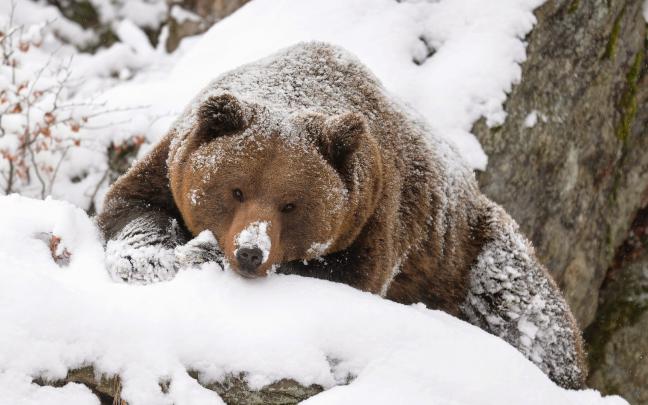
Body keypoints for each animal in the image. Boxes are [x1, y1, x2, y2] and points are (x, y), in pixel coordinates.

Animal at [97, 42, 587, 389]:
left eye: (290, 203)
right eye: (236, 190)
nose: (251, 252)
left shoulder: (376, 214)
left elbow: (345, 275)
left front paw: (203, 254)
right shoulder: (170, 162)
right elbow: (131, 205)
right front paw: (148, 258)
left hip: (469, 253)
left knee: (528, 312)